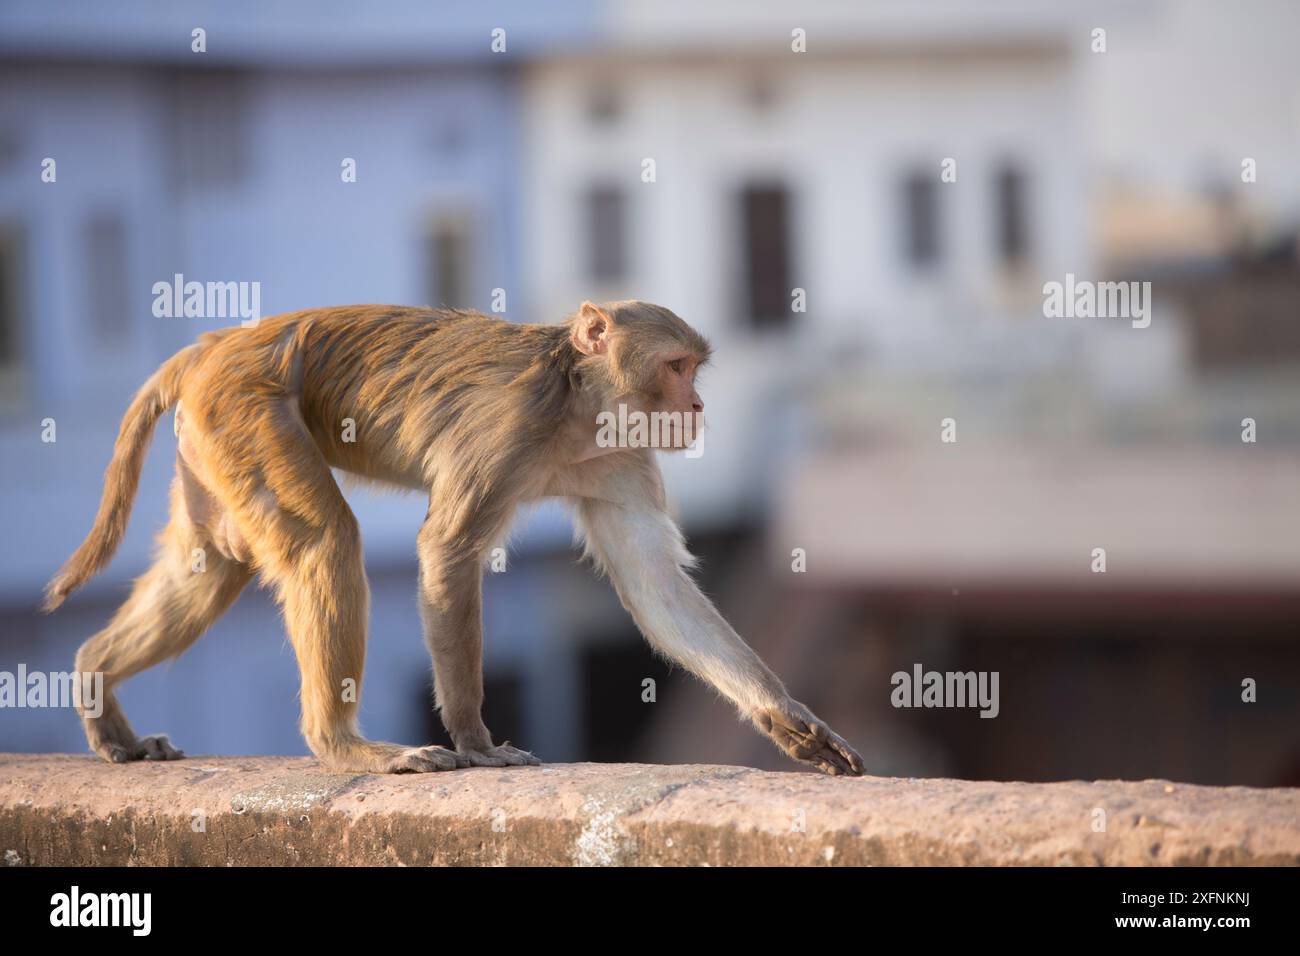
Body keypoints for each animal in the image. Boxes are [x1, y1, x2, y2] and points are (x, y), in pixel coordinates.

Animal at [44, 300, 865, 776]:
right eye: (677, 365)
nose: (694, 406)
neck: (576, 405)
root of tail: (215, 342)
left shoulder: (622, 457)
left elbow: (656, 588)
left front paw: (788, 718)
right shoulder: (505, 431)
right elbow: (447, 549)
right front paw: (475, 739)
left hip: (214, 436)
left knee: (211, 565)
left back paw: (96, 681)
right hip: (246, 405)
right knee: (324, 543)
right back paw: (342, 745)